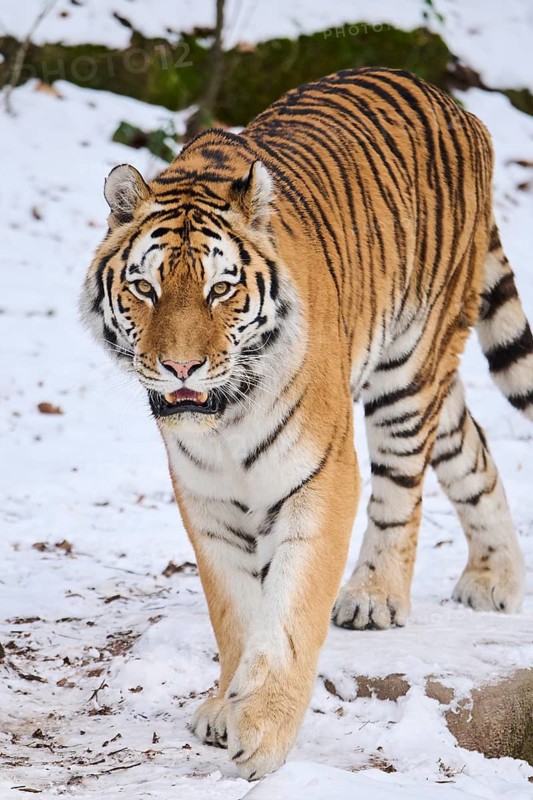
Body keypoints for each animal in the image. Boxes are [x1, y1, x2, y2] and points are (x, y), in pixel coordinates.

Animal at [81, 67, 533, 780]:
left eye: (219, 289)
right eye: (145, 289)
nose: (180, 367)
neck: (226, 417)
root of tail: (453, 102)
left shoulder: (319, 477)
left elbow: (291, 608)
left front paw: (263, 729)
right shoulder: (205, 497)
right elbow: (235, 610)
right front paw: (226, 706)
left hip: (409, 370)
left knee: (403, 489)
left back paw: (375, 595)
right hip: (431, 378)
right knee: (473, 448)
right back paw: (495, 579)